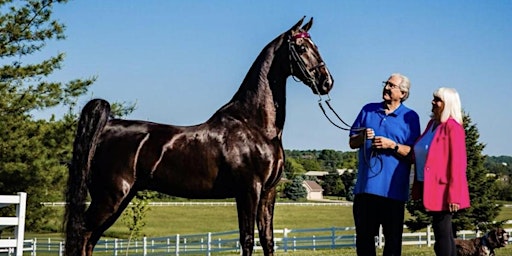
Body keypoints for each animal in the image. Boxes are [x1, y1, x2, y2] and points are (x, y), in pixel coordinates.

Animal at [64, 17, 334, 255]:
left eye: (316, 47)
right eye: (301, 48)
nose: (326, 82)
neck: (255, 125)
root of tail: (107, 127)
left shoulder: (269, 191)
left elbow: (267, 240)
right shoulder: (249, 190)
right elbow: (247, 240)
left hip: (119, 199)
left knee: (89, 240)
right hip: (110, 198)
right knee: (83, 235)